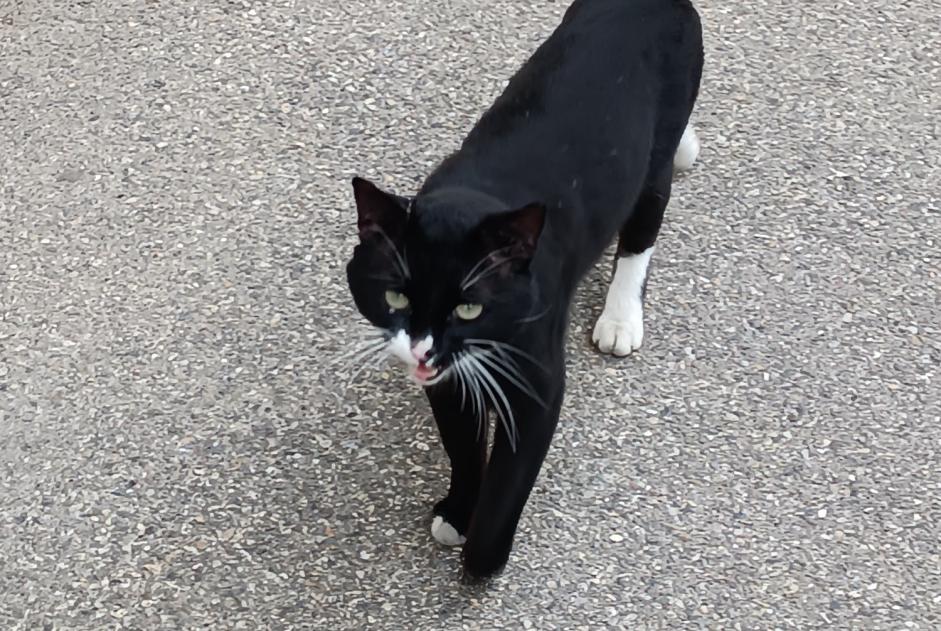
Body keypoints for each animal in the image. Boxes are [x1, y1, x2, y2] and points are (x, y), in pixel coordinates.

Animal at [344, 0, 696, 584]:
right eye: (396, 298)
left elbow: (511, 476)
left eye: (468, 306)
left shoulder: (538, 381)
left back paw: (621, 318)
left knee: (644, 223)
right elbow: (464, 447)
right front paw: (457, 511)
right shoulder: (448, 381)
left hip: (658, 146)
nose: (420, 348)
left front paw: (483, 558)